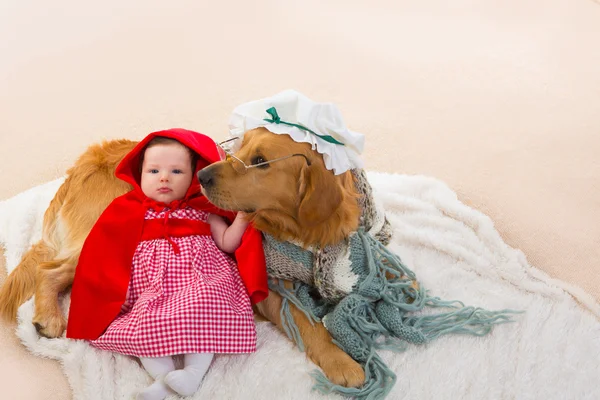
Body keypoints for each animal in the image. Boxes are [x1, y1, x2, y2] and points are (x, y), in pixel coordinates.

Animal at [0, 127, 366, 388]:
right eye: (240, 147)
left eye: (260, 160)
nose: (201, 177)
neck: (303, 232)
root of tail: (81, 165)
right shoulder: (271, 290)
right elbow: (307, 323)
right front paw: (342, 362)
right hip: (107, 241)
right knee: (48, 270)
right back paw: (49, 317)